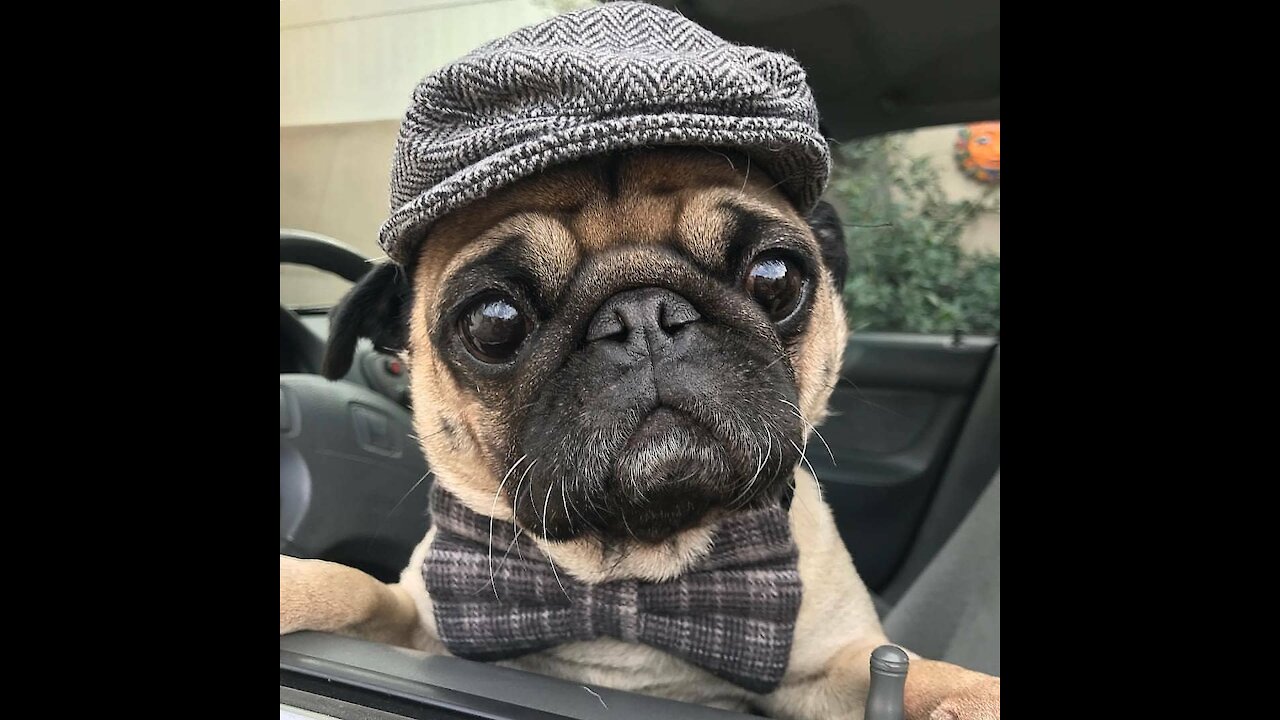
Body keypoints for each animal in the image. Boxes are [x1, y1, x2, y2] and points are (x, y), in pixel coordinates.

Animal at [277, 147, 998, 717]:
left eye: (776, 277)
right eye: (493, 321)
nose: (643, 314)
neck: (632, 572)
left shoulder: (838, 668)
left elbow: (913, 671)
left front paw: (974, 694)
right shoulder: (419, 622)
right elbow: (349, 585)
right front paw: (293, 586)